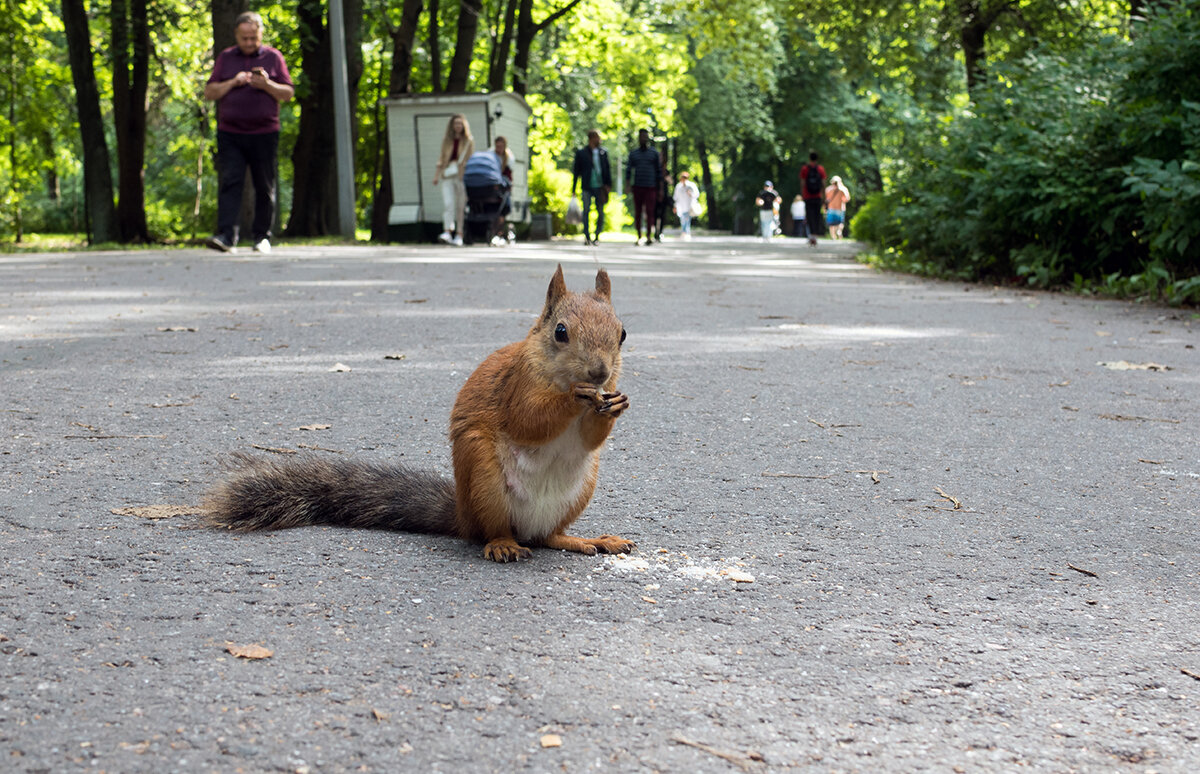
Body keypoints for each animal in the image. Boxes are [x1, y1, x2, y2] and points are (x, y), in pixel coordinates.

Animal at [204, 264, 638, 561]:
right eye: (560, 332)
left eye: (622, 333)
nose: (600, 373)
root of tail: (463, 514)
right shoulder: (516, 385)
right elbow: (529, 420)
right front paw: (574, 398)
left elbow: (589, 437)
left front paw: (614, 406)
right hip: (483, 474)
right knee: (495, 531)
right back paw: (503, 544)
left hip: (579, 490)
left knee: (548, 537)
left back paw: (588, 540)